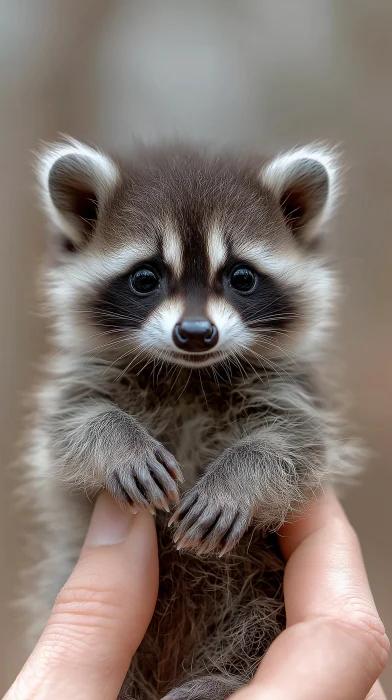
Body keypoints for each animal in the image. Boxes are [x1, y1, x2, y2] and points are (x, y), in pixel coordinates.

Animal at [23, 138, 356, 700]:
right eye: (145, 277)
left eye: (241, 277)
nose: (197, 334)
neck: (188, 374)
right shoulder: (81, 382)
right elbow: (73, 429)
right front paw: (120, 444)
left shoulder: (292, 392)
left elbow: (294, 447)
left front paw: (237, 479)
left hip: (258, 594)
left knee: (258, 624)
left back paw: (218, 678)